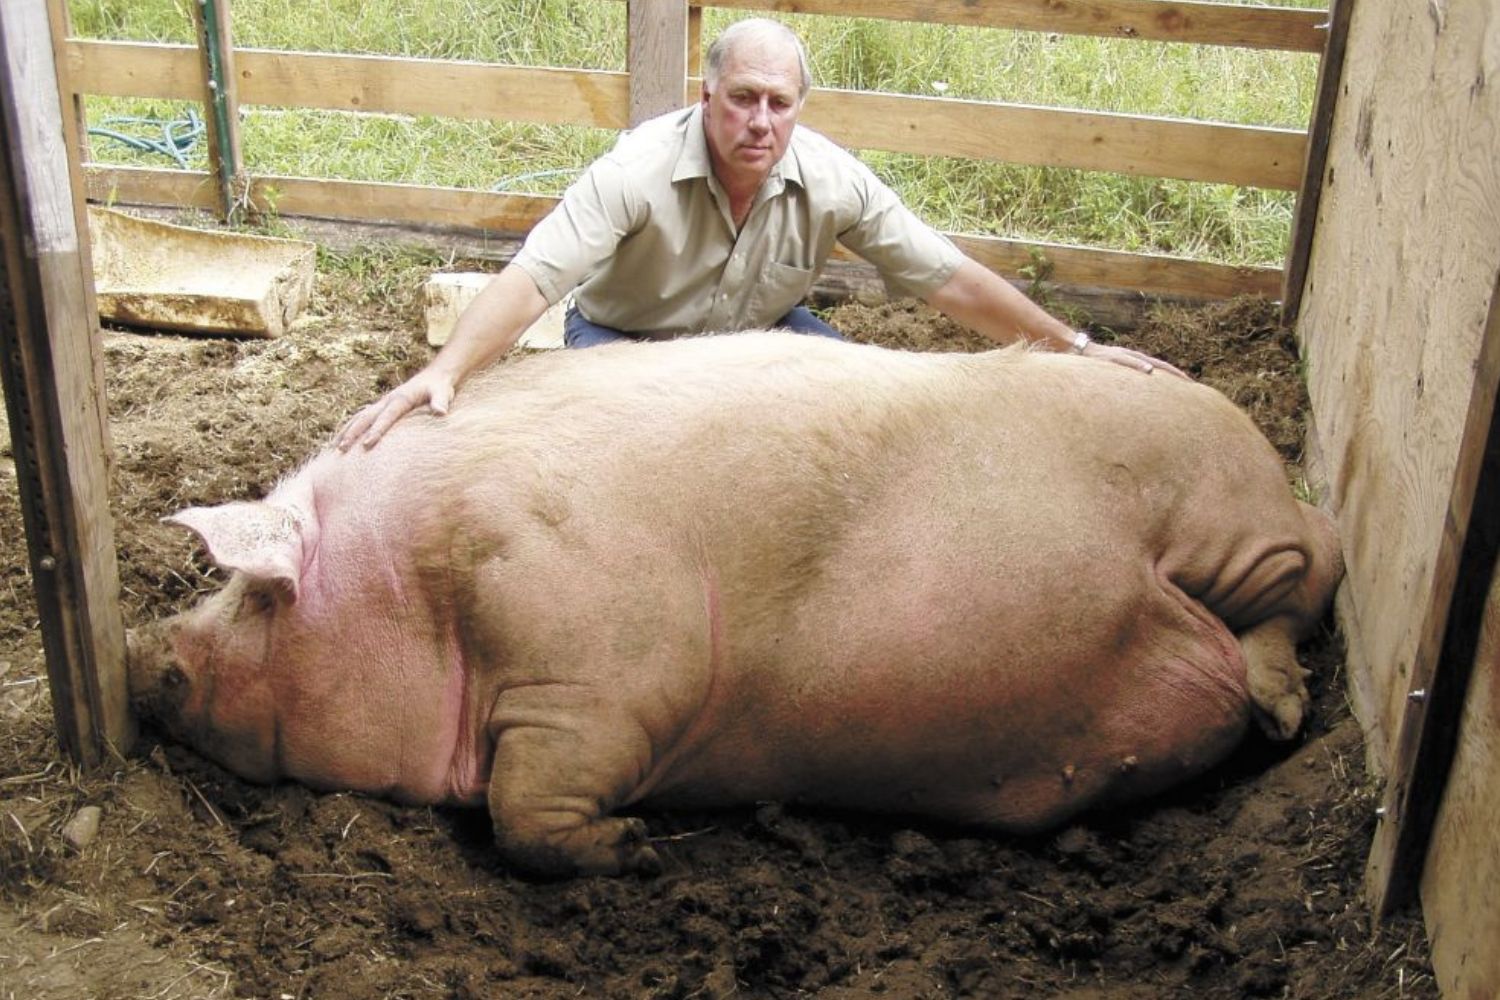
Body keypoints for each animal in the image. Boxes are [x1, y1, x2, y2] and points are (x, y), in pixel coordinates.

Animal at [127, 331, 1343, 877]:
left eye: (257, 596)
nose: (145, 654)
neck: (427, 581)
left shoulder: (597, 685)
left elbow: (525, 815)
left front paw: (640, 851)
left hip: (1232, 526)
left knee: (1309, 580)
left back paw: (1281, 710)